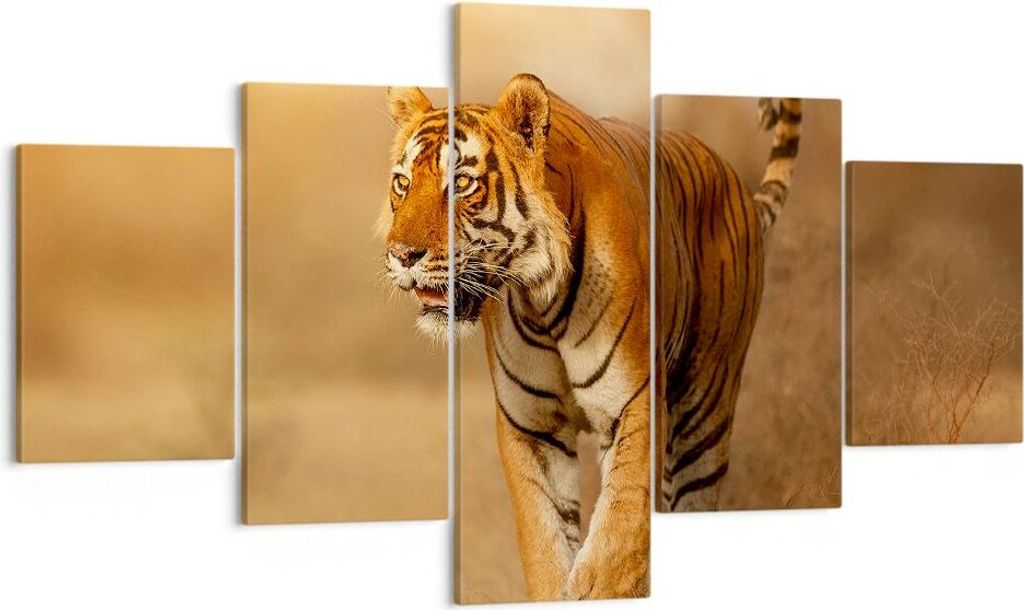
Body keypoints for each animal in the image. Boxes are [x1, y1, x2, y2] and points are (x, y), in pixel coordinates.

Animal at [381, 74, 799, 599]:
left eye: (460, 183)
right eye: (402, 183)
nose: (402, 255)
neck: (540, 300)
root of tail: (733, 178)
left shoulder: (635, 404)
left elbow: (618, 540)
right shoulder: (531, 426)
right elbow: (545, 545)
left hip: (705, 416)